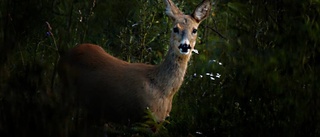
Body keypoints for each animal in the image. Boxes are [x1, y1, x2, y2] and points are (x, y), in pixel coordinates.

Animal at [58, 0, 211, 124]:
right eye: (175, 28)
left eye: (194, 30)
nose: (185, 46)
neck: (162, 89)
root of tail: (68, 53)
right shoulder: (141, 117)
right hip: (67, 94)